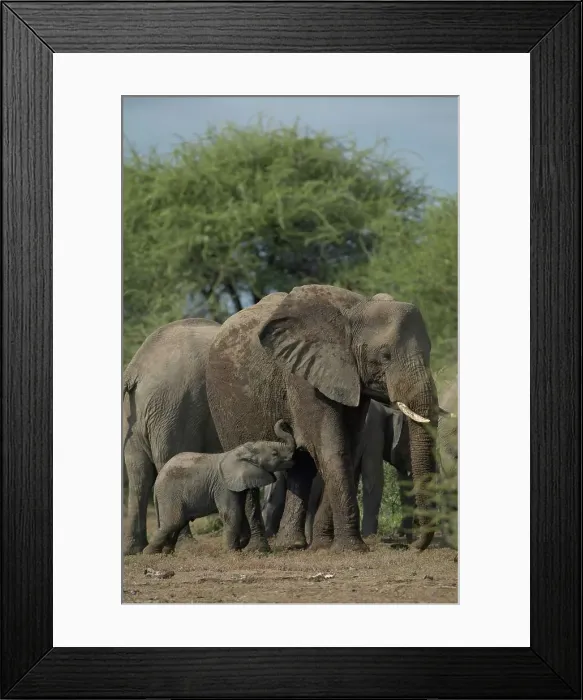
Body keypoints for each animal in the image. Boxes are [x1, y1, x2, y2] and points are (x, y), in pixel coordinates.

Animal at [144, 420, 296, 554]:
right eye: (274, 454)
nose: (285, 423)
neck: (241, 451)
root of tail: (157, 481)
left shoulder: (238, 485)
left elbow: (240, 512)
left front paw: (239, 546)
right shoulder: (224, 486)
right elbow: (232, 513)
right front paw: (231, 551)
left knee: (177, 524)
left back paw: (167, 552)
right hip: (170, 494)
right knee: (173, 523)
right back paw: (149, 553)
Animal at [206, 284, 442, 554]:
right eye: (385, 356)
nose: (412, 547)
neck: (358, 309)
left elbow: (348, 448)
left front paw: (324, 546)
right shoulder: (303, 375)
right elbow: (331, 447)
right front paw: (352, 549)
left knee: (301, 469)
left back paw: (293, 545)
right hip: (223, 405)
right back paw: (259, 549)